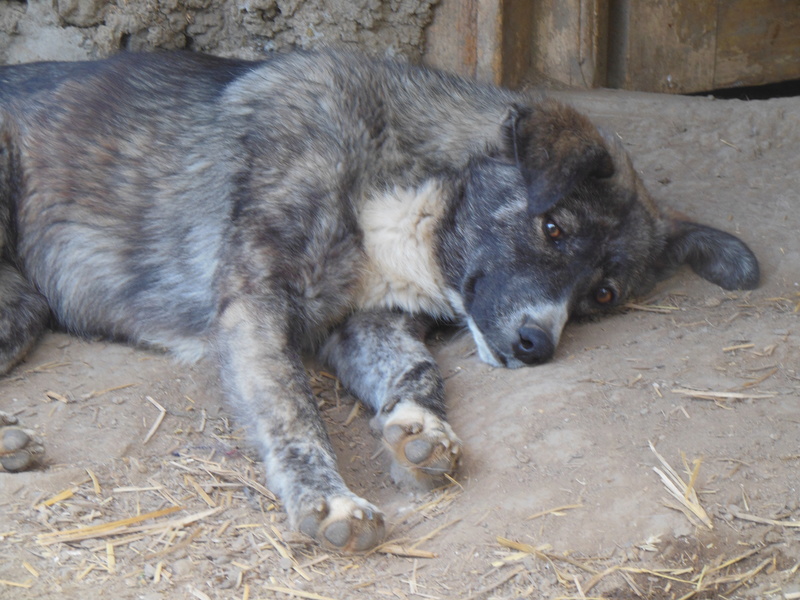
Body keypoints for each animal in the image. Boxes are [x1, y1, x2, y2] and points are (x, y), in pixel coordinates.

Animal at [0, 49, 756, 552]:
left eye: (601, 294)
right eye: (553, 228)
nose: (538, 346)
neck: (408, 193)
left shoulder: (364, 321)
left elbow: (418, 370)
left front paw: (419, 429)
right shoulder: (257, 304)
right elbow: (293, 414)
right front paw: (328, 500)